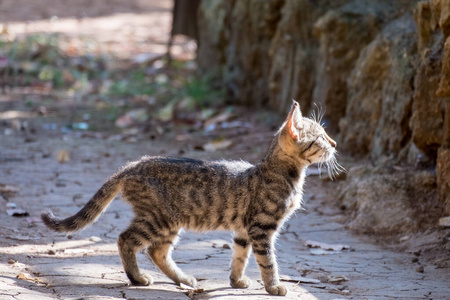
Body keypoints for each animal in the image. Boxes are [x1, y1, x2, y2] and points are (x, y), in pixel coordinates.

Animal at [42, 101, 340, 296]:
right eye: (322, 138)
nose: (335, 144)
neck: (282, 173)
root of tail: (132, 165)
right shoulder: (261, 227)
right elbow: (268, 261)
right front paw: (274, 286)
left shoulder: (244, 230)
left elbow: (239, 256)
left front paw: (236, 281)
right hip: (160, 219)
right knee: (126, 240)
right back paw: (137, 278)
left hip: (168, 223)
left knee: (156, 251)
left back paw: (182, 278)